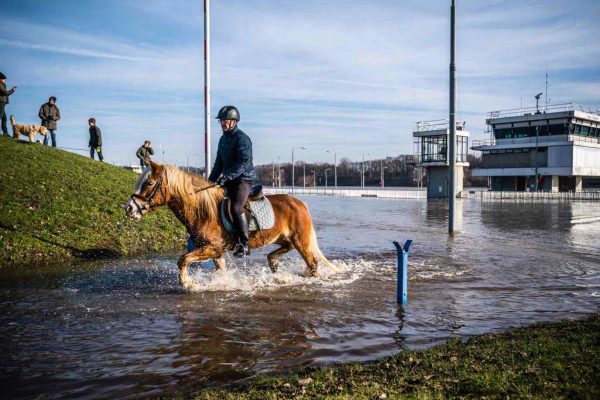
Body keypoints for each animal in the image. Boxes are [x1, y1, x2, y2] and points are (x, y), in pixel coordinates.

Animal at [124, 162, 338, 290]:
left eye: (149, 183)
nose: (129, 208)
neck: (201, 210)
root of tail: (300, 203)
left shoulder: (212, 248)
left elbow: (183, 259)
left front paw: (188, 283)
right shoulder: (215, 251)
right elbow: (221, 270)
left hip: (301, 241)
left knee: (313, 264)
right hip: (284, 239)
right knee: (282, 252)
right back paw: (275, 265)